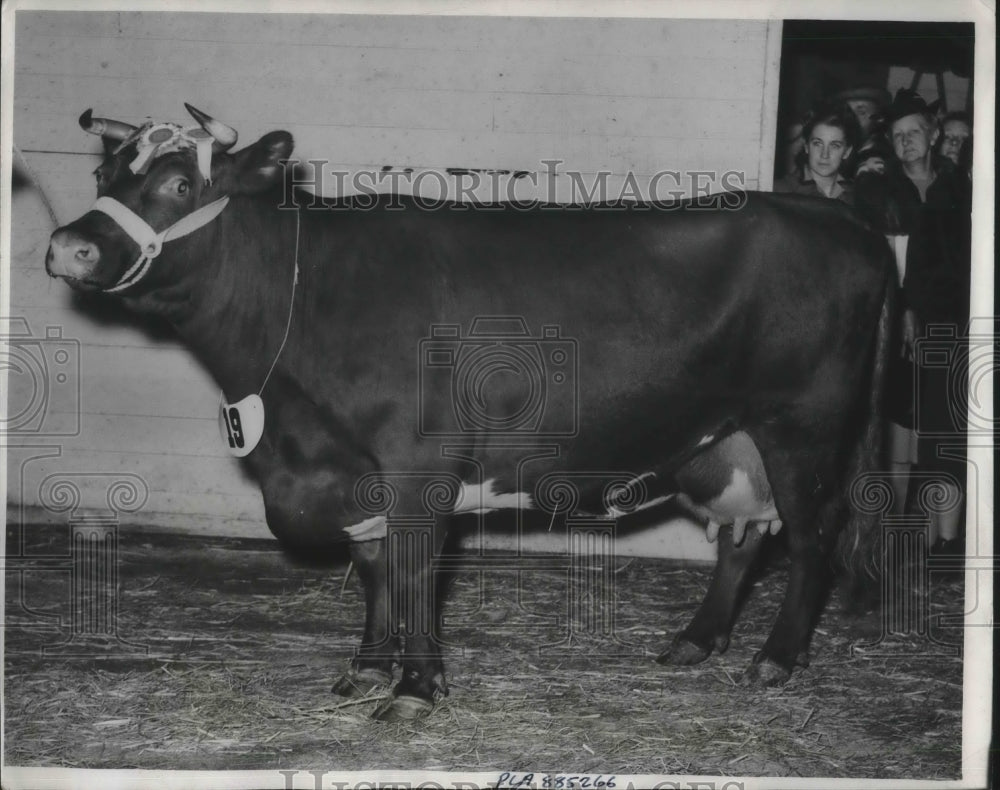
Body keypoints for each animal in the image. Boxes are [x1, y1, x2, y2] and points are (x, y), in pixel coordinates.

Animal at [46, 105, 893, 722]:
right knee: (745, 537)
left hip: (805, 427)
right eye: (103, 172)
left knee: (814, 536)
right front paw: (368, 668)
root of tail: (839, 220)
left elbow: (414, 568)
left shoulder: (418, 464)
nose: (67, 247)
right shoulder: (353, 473)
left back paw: (776, 658)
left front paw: (416, 688)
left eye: (178, 185)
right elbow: (375, 568)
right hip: (728, 439)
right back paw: (697, 640)